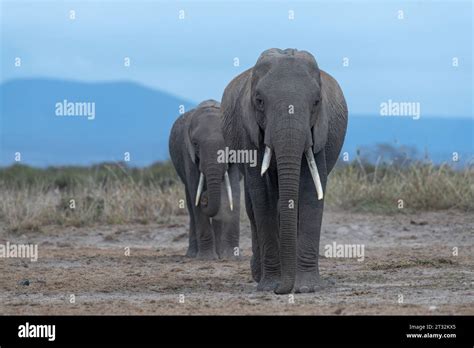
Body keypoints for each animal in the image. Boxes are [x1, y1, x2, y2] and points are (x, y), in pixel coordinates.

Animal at [168, 99, 241, 260]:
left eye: (228, 143)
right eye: (195, 144)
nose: (205, 198)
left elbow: (233, 192)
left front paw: (231, 257)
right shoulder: (187, 154)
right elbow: (195, 191)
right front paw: (206, 258)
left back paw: (219, 253)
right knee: (191, 204)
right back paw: (193, 254)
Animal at [219, 48, 348, 294]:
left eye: (316, 102)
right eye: (259, 101)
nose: (282, 289)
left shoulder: (318, 132)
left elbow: (310, 190)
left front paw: (306, 287)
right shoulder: (249, 132)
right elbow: (262, 196)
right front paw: (270, 285)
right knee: (253, 208)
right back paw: (260, 276)